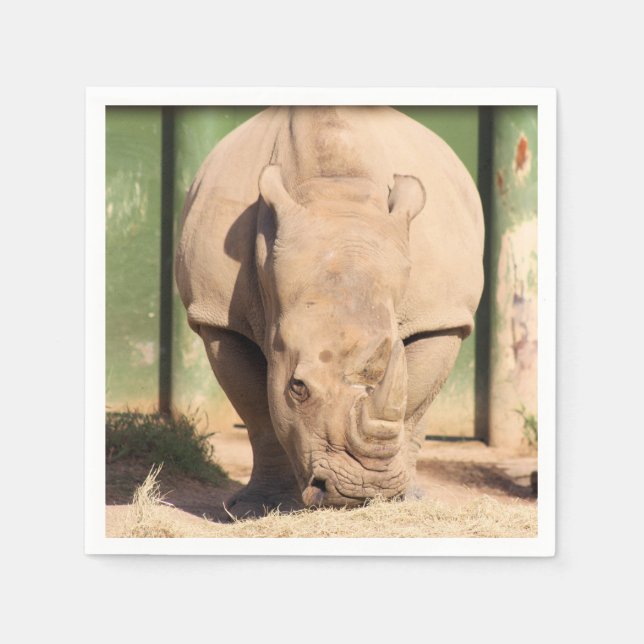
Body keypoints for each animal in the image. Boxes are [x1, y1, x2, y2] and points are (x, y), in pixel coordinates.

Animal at [175, 106, 484, 516]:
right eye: (297, 388)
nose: (363, 491)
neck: (336, 193)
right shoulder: (218, 318)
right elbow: (258, 414)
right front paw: (256, 508)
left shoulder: (441, 316)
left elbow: (415, 406)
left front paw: (400, 500)